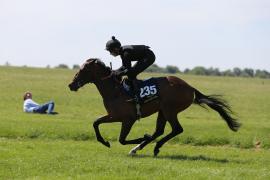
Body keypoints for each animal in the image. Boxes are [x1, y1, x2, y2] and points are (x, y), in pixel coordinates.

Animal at [69, 58, 240, 156]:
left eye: (83, 70)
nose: (71, 85)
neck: (115, 90)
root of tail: (190, 88)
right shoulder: (113, 115)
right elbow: (96, 122)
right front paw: (104, 142)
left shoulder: (128, 119)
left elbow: (122, 139)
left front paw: (143, 137)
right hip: (162, 111)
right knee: (160, 130)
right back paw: (140, 148)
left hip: (170, 110)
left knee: (176, 129)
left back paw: (154, 146)